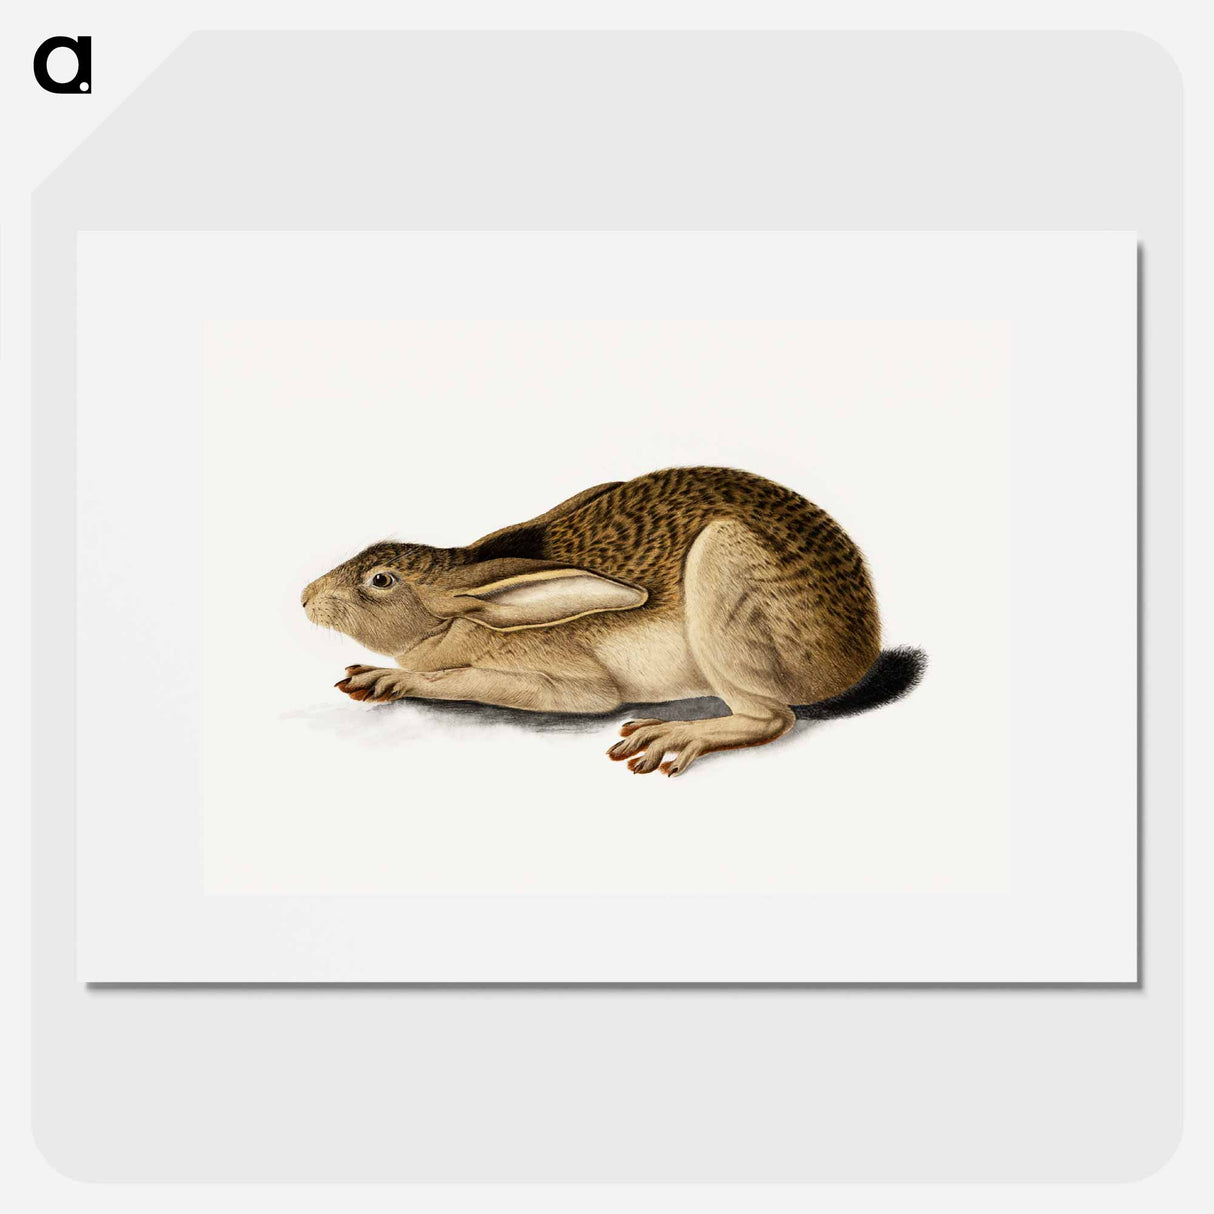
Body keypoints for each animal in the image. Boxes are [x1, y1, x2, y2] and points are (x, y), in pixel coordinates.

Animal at [301, 466, 925, 776]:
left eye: (380, 580)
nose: (305, 598)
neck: (468, 609)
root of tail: (858, 649)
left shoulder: (567, 684)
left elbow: (459, 681)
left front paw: (387, 679)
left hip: (723, 574)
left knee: (773, 717)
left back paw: (670, 736)